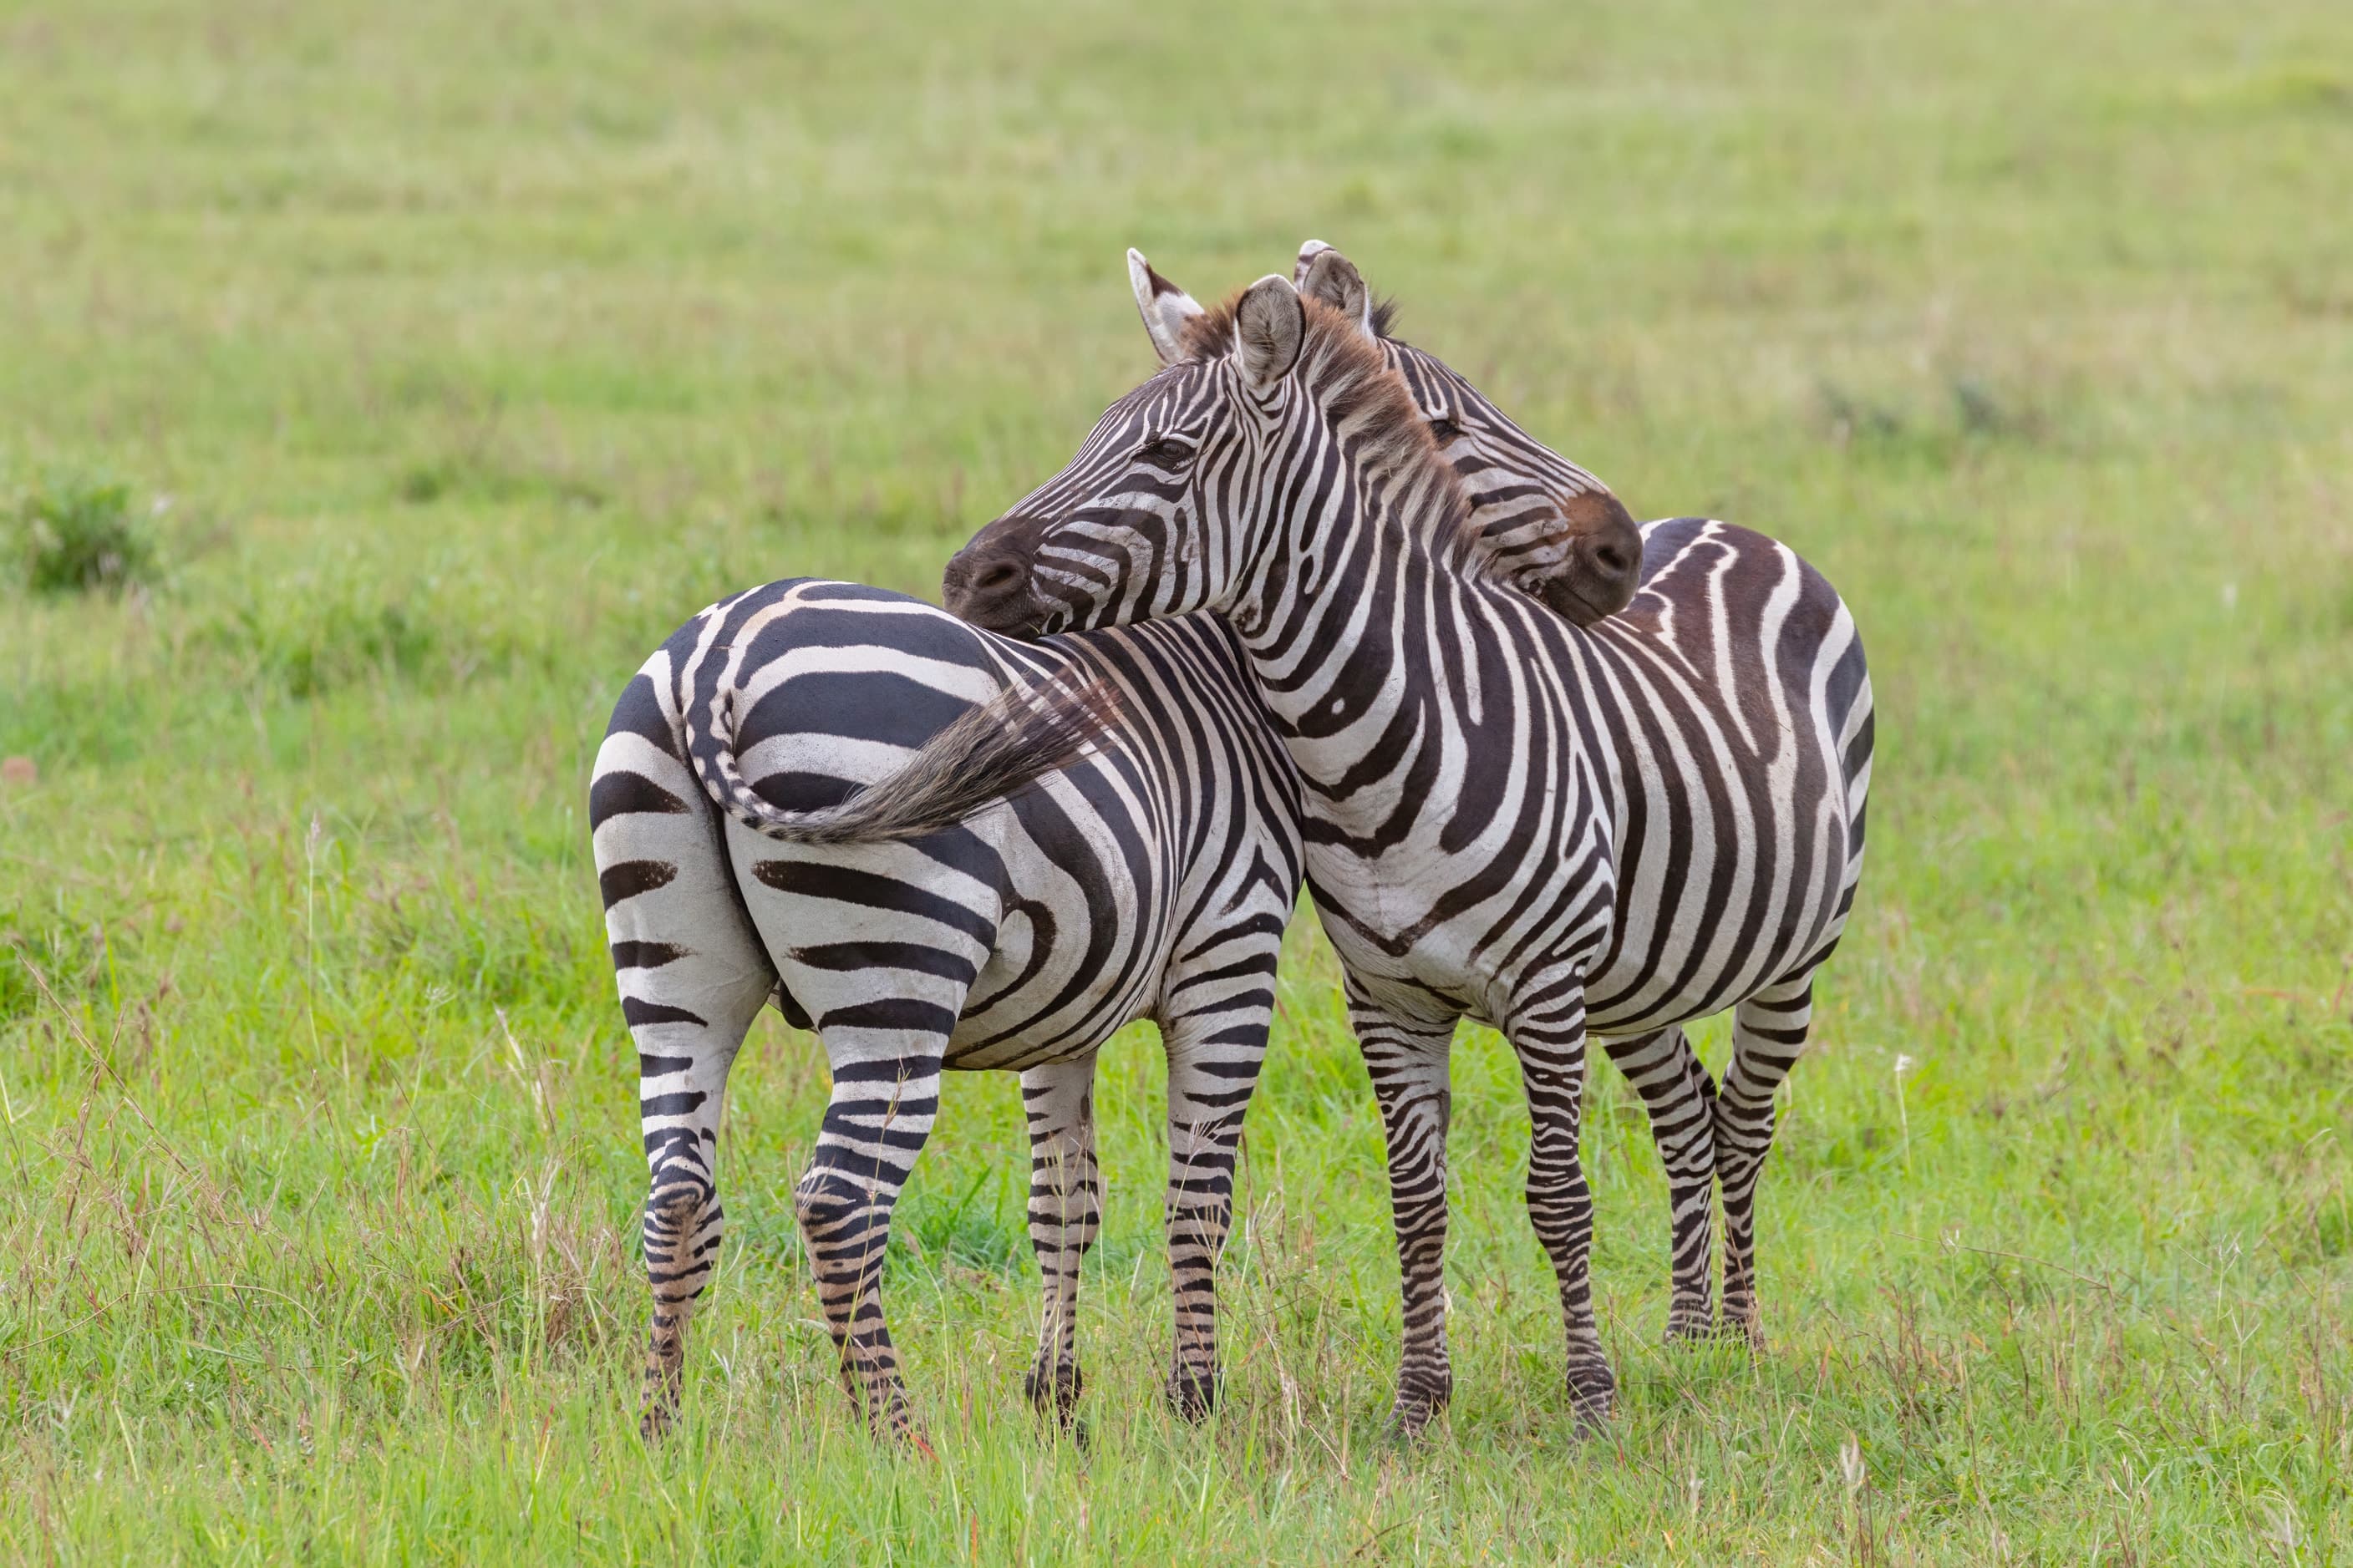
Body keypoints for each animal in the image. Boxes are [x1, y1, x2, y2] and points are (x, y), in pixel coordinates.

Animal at [944, 250, 1873, 1433]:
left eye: (1167, 455)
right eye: (1090, 440)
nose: (967, 578)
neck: (1376, 743)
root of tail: (1722, 525)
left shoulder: (1543, 989)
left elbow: (1556, 1195)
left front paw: (1588, 1398)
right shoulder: (1386, 999)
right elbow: (1415, 1200)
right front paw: (1420, 1400)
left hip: (1790, 956)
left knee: (1748, 1122)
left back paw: (1741, 1341)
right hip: (1638, 978)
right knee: (1687, 1114)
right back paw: (1688, 1335)